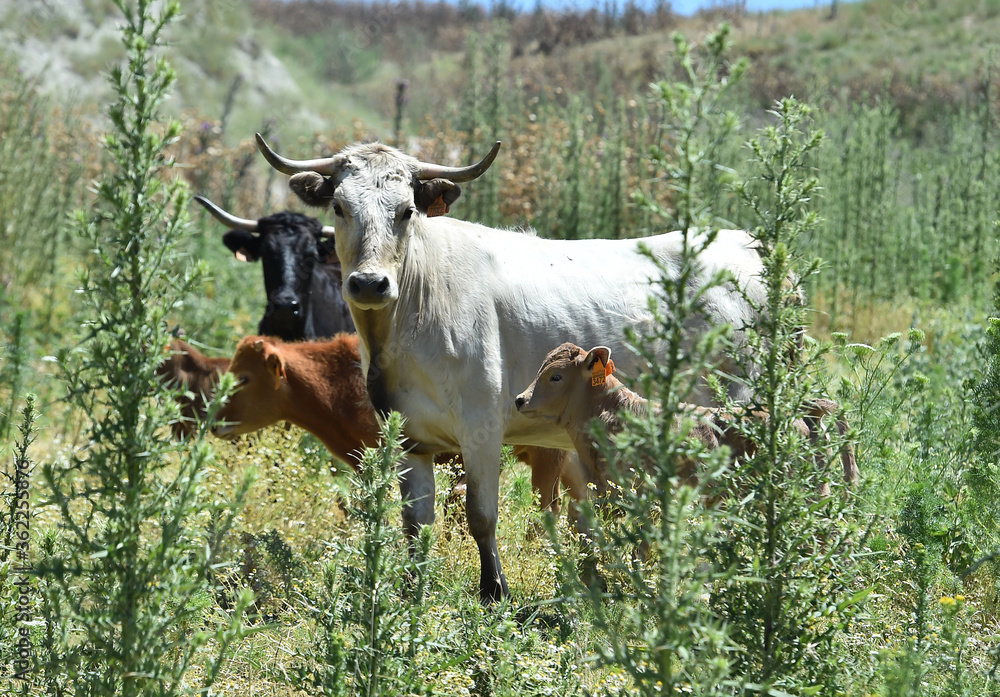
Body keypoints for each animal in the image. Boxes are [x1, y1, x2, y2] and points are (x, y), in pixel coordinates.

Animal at [256, 135, 764, 600]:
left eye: (407, 211)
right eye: (340, 207)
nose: (368, 283)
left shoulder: (481, 428)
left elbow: (481, 515)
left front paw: (493, 590)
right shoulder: (408, 436)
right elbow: (416, 523)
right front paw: (413, 591)